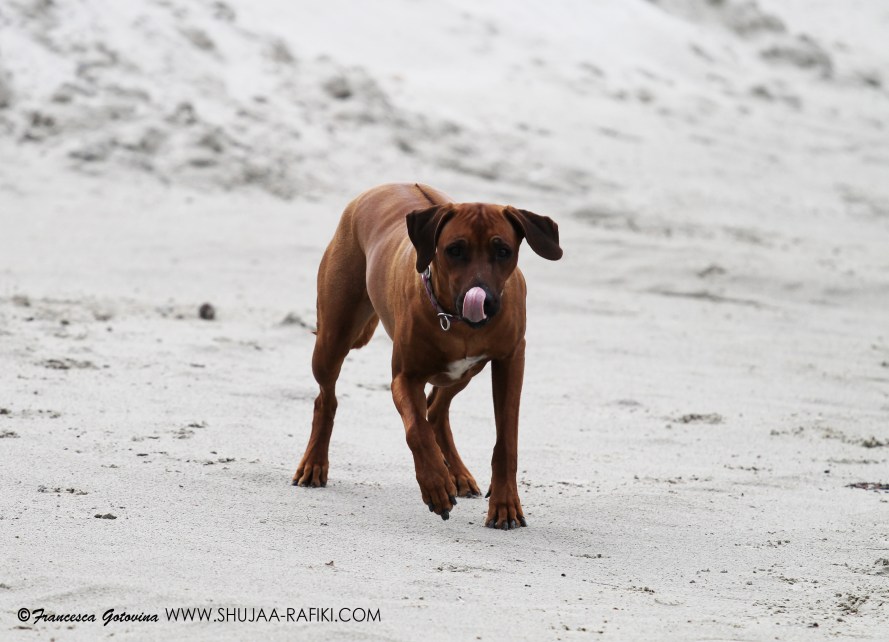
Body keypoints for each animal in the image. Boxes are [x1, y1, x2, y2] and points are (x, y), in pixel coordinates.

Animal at [292, 183, 562, 529]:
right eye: (454, 250)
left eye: (503, 251)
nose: (484, 301)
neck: (456, 320)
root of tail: (378, 188)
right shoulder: (405, 377)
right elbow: (416, 431)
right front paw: (436, 486)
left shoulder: (511, 360)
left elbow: (506, 441)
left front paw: (505, 505)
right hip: (332, 337)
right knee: (326, 399)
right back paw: (314, 463)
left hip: (465, 371)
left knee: (436, 409)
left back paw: (458, 474)